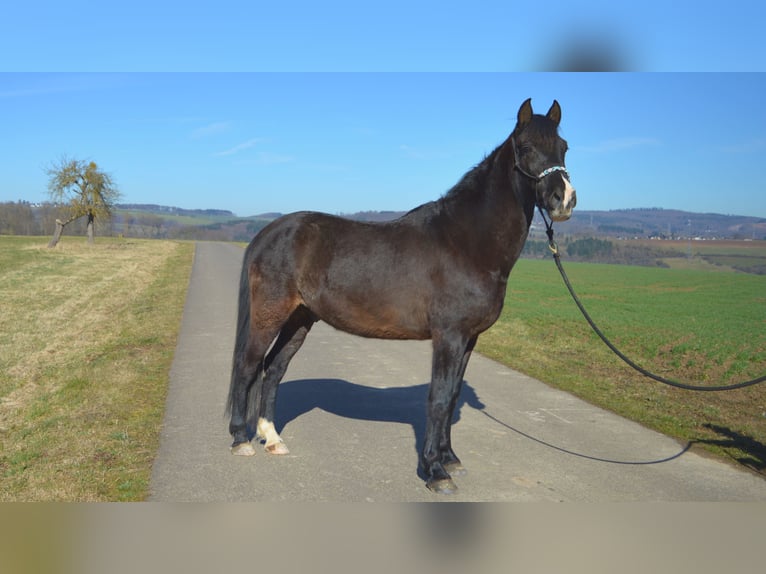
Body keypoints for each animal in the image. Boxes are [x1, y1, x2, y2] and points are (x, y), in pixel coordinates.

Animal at [226, 99, 576, 496]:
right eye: (527, 147)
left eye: (564, 147)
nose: (564, 200)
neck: (466, 241)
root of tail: (268, 232)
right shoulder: (449, 337)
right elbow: (438, 399)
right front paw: (436, 471)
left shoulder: (469, 339)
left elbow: (452, 396)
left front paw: (450, 459)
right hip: (269, 315)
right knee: (248, 367)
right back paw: (240, 440)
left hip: (300, 319)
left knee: (273, 371)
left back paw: (272, 439)